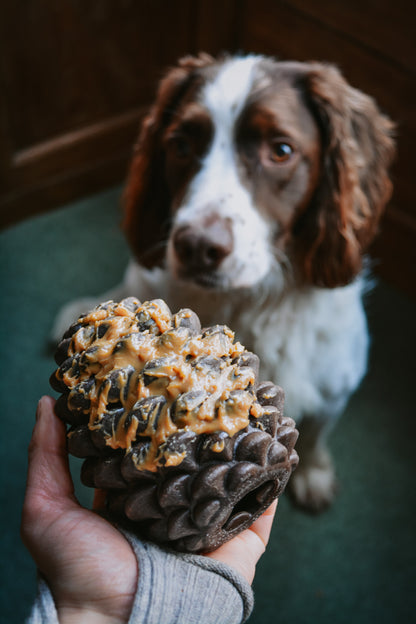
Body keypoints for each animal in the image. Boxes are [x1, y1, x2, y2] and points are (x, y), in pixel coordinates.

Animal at [53, 53, 394, 512]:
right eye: (180, 145)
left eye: (281, 150)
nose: (197, 246)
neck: (251, 301)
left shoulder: (336, 385)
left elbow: (317, 433)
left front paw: (315, 472)